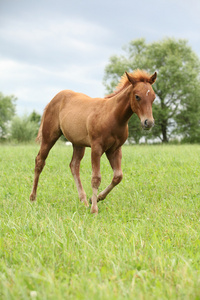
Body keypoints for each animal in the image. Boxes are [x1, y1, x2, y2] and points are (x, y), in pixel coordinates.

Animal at [30, 69, 156, 214]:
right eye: (137, 96)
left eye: (153, 97)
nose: (148, 123)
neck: (113, 116)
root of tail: (54, 98)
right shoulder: (97, 148)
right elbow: (96, 178)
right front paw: (94, 209)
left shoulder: (115, 149)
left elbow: (118, 176)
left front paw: (95, 199)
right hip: (49, 137)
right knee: (40, 161)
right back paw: (33, 198)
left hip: (78, 144)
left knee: (74, 165)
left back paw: (84, 201)